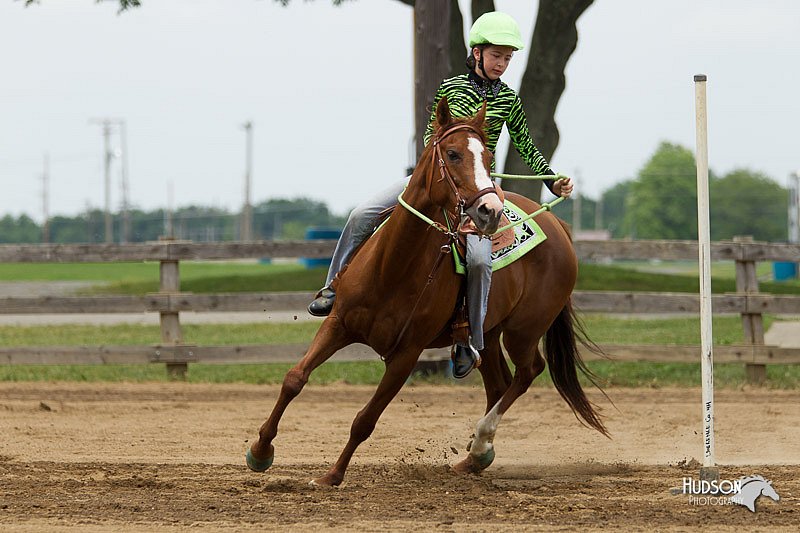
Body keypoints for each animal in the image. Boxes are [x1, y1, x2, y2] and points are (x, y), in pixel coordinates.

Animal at [245, 97, 608, 484]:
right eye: (452, 153)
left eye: (488, 158)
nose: (490, 210)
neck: (393, 267)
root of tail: (558, 226)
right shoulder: (338, 324)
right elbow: (294, 379)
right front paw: (260, 451)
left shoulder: (406, 354)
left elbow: (365, 420)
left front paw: (332, 475)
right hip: (489, 333)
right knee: (500, 383)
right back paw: (475, 456)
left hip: (524, 331)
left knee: (527, 373)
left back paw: (480, 443)